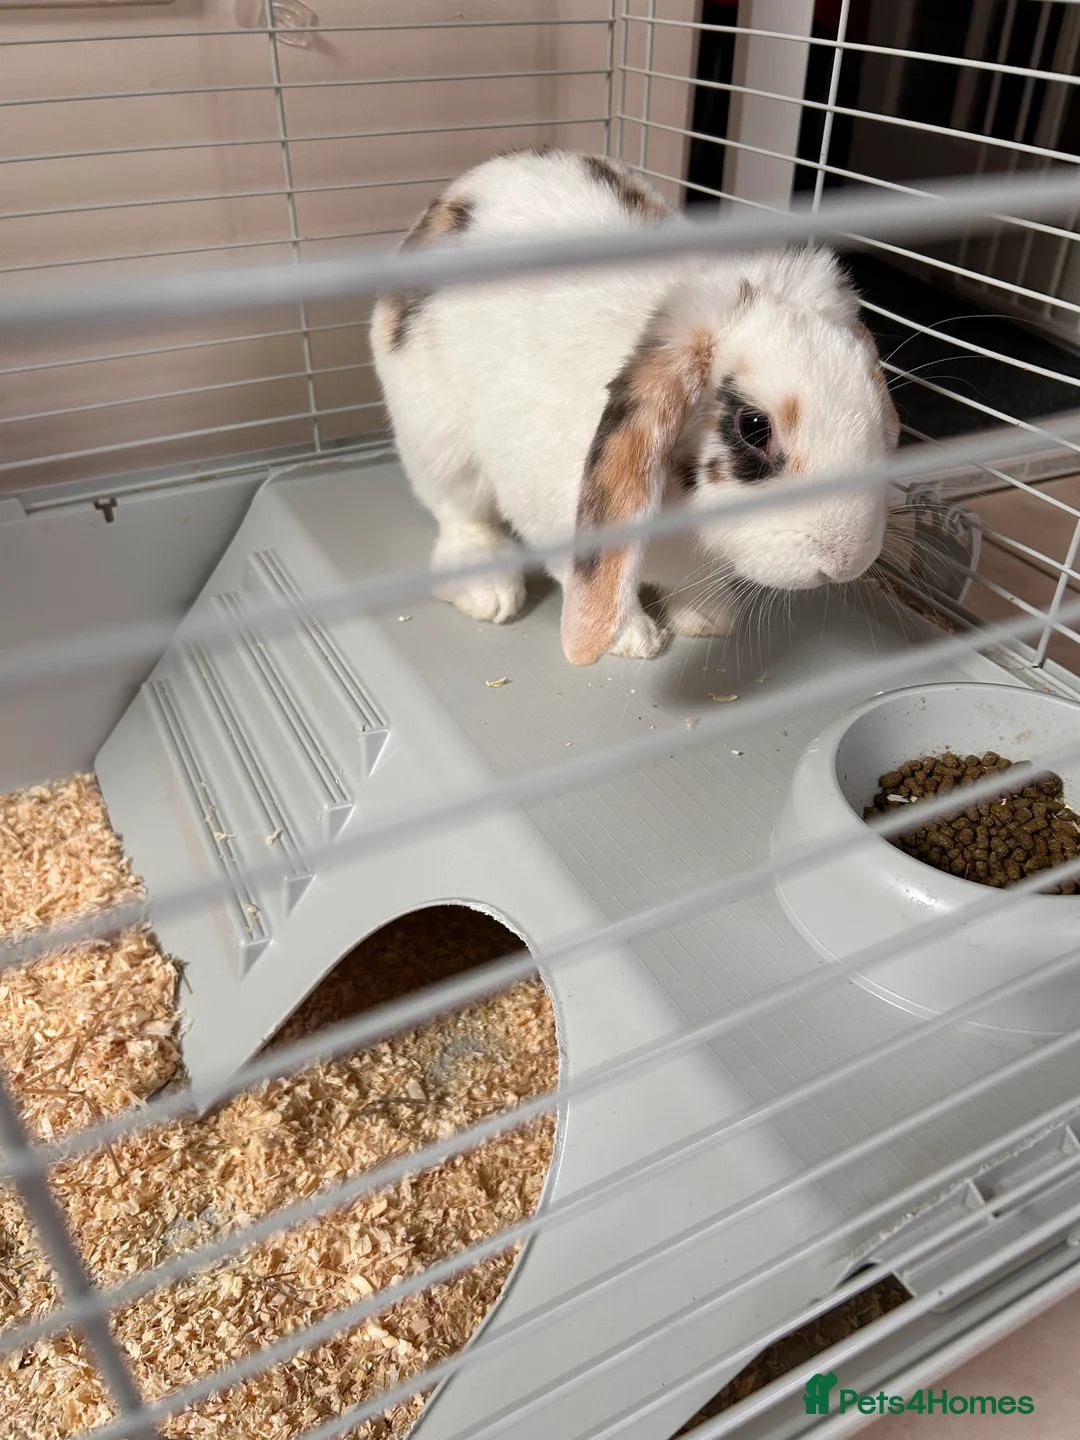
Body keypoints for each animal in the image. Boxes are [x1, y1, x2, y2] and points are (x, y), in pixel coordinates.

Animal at [370, 147, 899, 666]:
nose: (848, 560)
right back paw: (489, 592)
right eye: (753, 427)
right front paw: (633, 640)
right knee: (461, 516)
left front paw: (709, 620)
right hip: (436, 441)